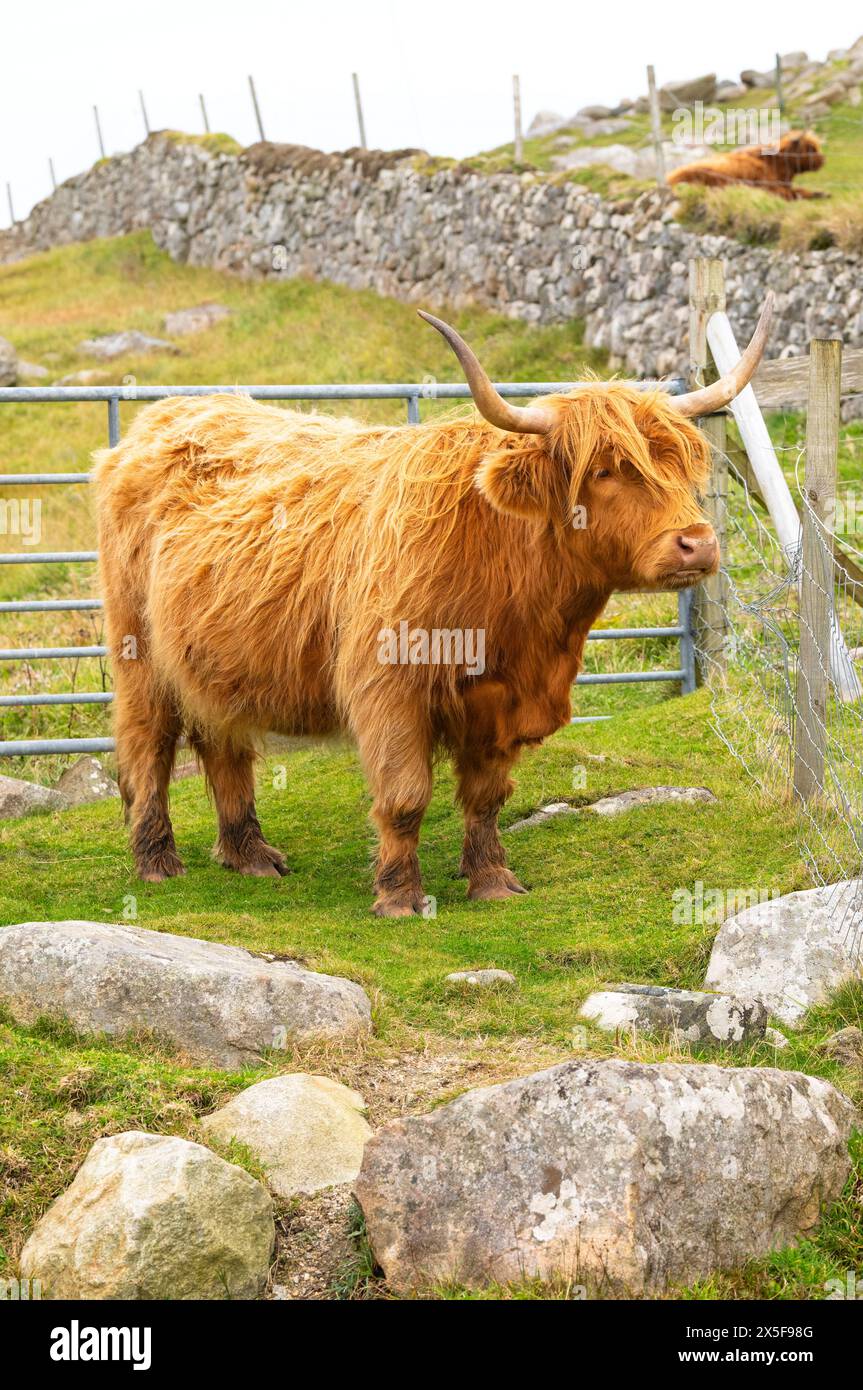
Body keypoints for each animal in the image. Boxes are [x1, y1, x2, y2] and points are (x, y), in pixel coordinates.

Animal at [92, 298, 772, 915]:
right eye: (605, 470)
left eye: (678, 464)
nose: (698, 542)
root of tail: (163, 415)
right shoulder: (388, 686)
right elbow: (405, 796)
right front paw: (398, 897)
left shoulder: (504, 697)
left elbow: (487, 796)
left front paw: (492, 881)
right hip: (137, 650)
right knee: (147, 744)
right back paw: (157, 861)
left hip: (209, 657)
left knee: (222, 742)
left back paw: (250, 855)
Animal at [667, 130, 826, 201]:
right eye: (811, 148)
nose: (823, 159)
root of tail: (670, 178)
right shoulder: (772, 188)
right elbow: (795, 192)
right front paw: (818, 194)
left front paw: (821, 193)